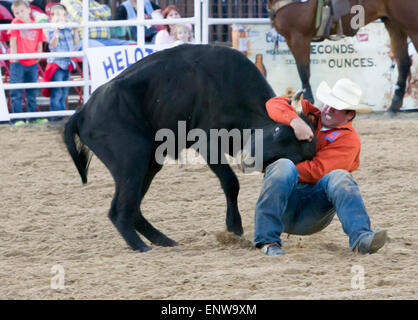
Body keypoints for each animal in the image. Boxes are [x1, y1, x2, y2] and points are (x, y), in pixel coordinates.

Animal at [268, 0, 418, 112]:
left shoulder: (298, 37)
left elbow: (304, 72)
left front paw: (307, 101)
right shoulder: (292, 39)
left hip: (411, 26)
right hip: (394, 24)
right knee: (403, 62)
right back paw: (394, 105)